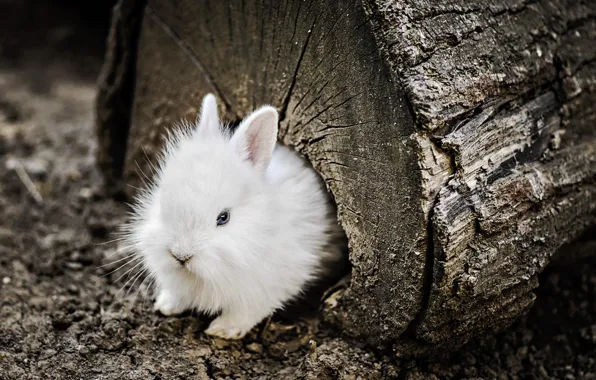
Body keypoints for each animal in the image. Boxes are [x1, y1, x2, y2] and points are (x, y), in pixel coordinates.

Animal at [121, 93, 344, 340]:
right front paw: (166, 306)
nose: (180, 256)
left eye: (223, 218)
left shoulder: (269, 286)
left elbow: (245, 312)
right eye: (162, 202)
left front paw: (222, 330)